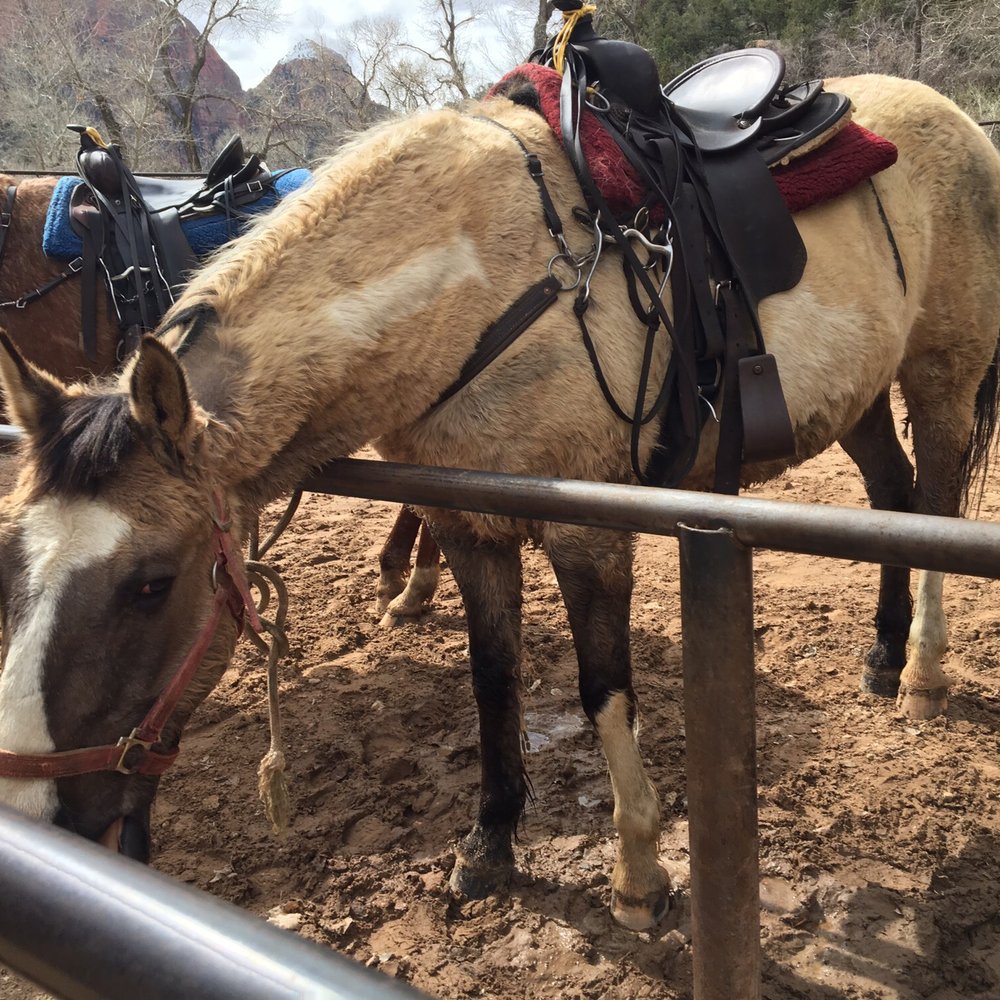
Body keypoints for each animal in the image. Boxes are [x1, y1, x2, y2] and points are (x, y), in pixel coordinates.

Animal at [0, 71, 997, 935]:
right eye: (16, 560)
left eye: (151, 583)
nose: (34, 809)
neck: (475, 281)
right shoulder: (466, 527)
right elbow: (493, 680)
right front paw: (489, 844)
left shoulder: (589, 534)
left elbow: (603, 691)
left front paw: (639, 878)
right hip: (859, 397)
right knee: (892, 495)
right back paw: (882, 651)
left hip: (941, 375)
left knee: (936, 503)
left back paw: (922, 672)